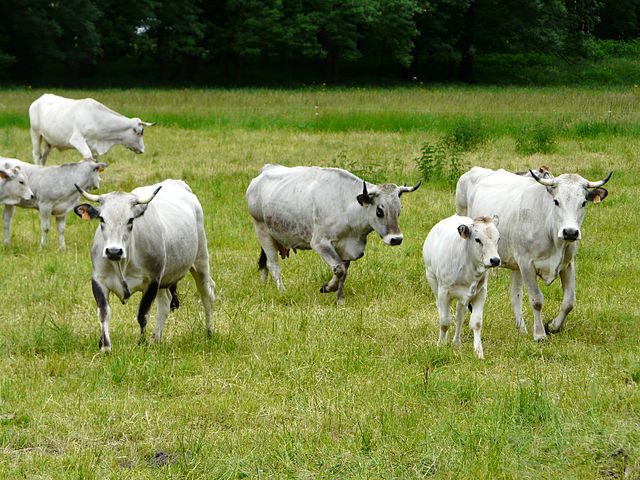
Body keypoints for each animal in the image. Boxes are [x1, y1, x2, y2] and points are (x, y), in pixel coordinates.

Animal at [74, 180, 216, 352]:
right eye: (102, 219)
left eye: (130, 220)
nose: (113, 251)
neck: (122, 262)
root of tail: (177, 182)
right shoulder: (98, 280)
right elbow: (104, 313)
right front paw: (105, 346)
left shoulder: (152, 281)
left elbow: (142, 314)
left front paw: (142, 343)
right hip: (166, 278)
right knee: (165, 303)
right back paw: (156, 339)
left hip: (201, 259)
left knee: (206, 294)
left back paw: (209, 332)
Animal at [245, 163, 420, 302]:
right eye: (379, 210)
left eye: (399, 209)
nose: (396, 239)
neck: (346, 207)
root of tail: (264, 171)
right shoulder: (320, 243)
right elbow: (339, 269)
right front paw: (327, 287)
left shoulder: (347, 248)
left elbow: (344, 272)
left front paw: (340, 300)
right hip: (262, 230)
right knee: (273, 264)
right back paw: (282, 290)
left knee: (265, 264)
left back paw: (263, 285)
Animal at [422, 216, 502, 358]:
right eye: (477, 239)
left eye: (498, 239)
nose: (495, 260)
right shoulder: (444, 292)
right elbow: (445, 322)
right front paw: (441, 345)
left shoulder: (481, 293)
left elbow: (476, 323)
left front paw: (478, 352)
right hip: (432, 279)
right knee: (442, 311)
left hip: (463, 299)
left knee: (460, 316)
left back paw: (456, 343)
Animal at [456, 167, 608, 340]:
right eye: (556, 201)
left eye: (583, 203)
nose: (570, 232)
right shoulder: (527, 264)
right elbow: (537, 300)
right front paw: (540, 334)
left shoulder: (568, 264)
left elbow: (569, 302)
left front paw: (553, 326)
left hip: (516, 266)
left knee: (515, 295)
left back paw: (521, 329)